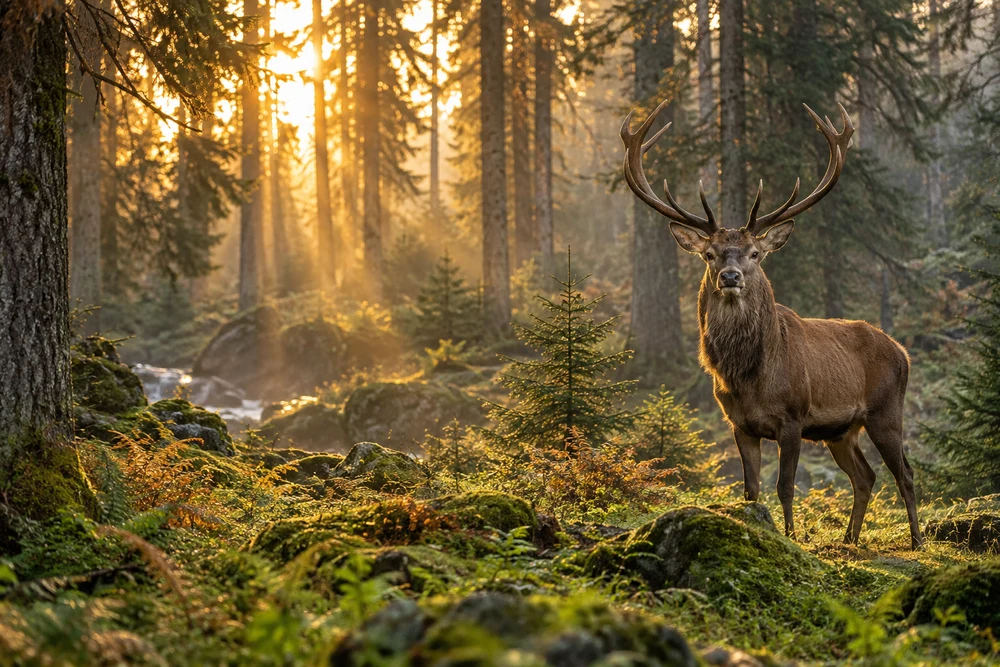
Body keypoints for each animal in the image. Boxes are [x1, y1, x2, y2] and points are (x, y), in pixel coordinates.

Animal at [621, 100, 922, 549]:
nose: (730, 276)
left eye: (754, 254)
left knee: (905, 473)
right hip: (840, 431)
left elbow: (785, 487)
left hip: (886, 410)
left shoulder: (793, 418)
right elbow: (751, 490)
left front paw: (793, 537)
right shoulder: (739, 424)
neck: (749, 377)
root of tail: (902, 351)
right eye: (709, 254)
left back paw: (916, 541)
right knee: (865, 476)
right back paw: (848, 540)